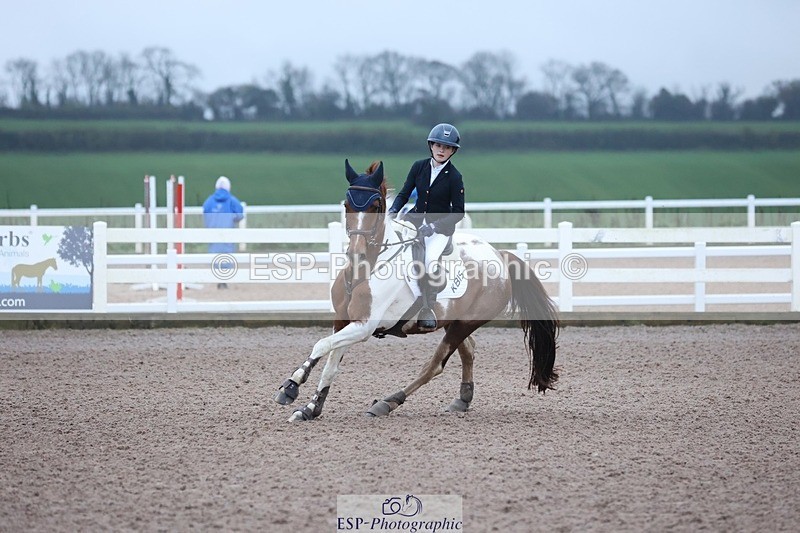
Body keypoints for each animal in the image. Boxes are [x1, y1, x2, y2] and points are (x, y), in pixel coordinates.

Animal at [274, 160, 559, 422]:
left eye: (376, 207)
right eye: (347, 206)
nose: (356, 253)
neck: (365, 269)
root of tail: (499, 255)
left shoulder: (364, 326)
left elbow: (321, 345)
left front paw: (291, 387)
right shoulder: (343, 321)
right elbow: (331, 363)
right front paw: (310, 408)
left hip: (466, 322)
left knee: (434, 366)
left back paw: (387, 402)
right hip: (454, 321)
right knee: (468, 350)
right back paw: (463, 399)